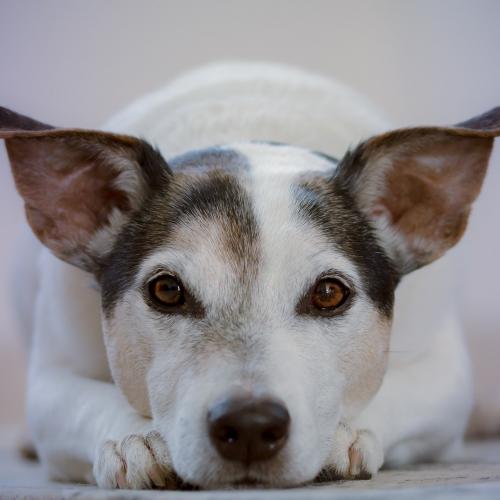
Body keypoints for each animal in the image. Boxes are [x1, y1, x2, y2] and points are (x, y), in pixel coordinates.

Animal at [0, 61, 498, 488]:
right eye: (166, 290)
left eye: (329, 293)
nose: (251, 425)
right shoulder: (51, 379)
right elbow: (83, 402)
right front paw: (134, 439)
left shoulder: (445, 377)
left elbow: (396, 392)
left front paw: (345, 433)